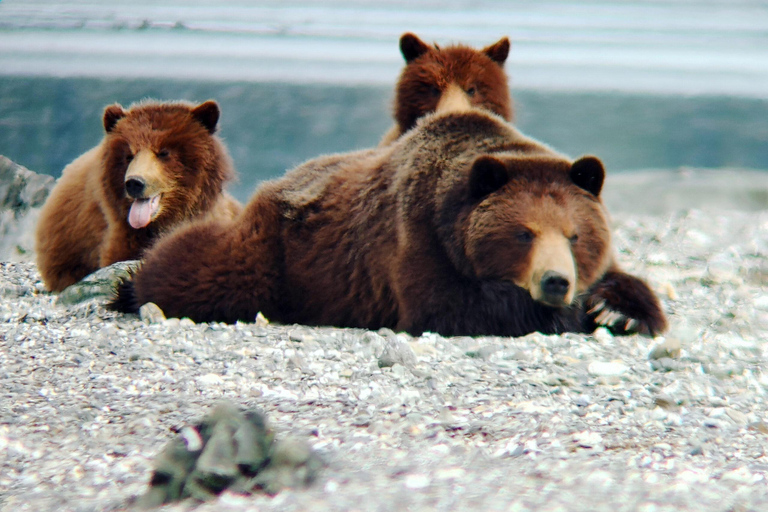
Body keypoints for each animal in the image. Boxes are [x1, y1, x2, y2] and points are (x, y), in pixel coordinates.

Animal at [112, 108, 667, 338]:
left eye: (575, 235)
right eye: (523, 233)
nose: (556, 282)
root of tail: (280, 180)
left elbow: (627, 282)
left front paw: (617, 309)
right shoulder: (415, 237)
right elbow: (450, 308)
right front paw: (571, 312)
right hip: (274, 253)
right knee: (202, 266)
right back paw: (132, 285)